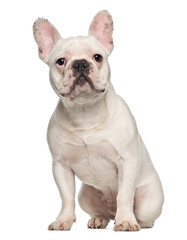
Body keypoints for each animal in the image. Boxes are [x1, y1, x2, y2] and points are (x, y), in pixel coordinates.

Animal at [33, 10, 164, 231]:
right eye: (60, 61)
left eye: (97, 57)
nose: (80, 63)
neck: (85, 111)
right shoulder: (61, 166)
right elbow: (66, 197)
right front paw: (63, 220)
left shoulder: (127, 161)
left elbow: (125, 195)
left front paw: (126, 221)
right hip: (85, 194)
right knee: (99, 211)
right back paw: (99, 219)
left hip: (149, 200)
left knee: (143, 214)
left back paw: (135, 220)